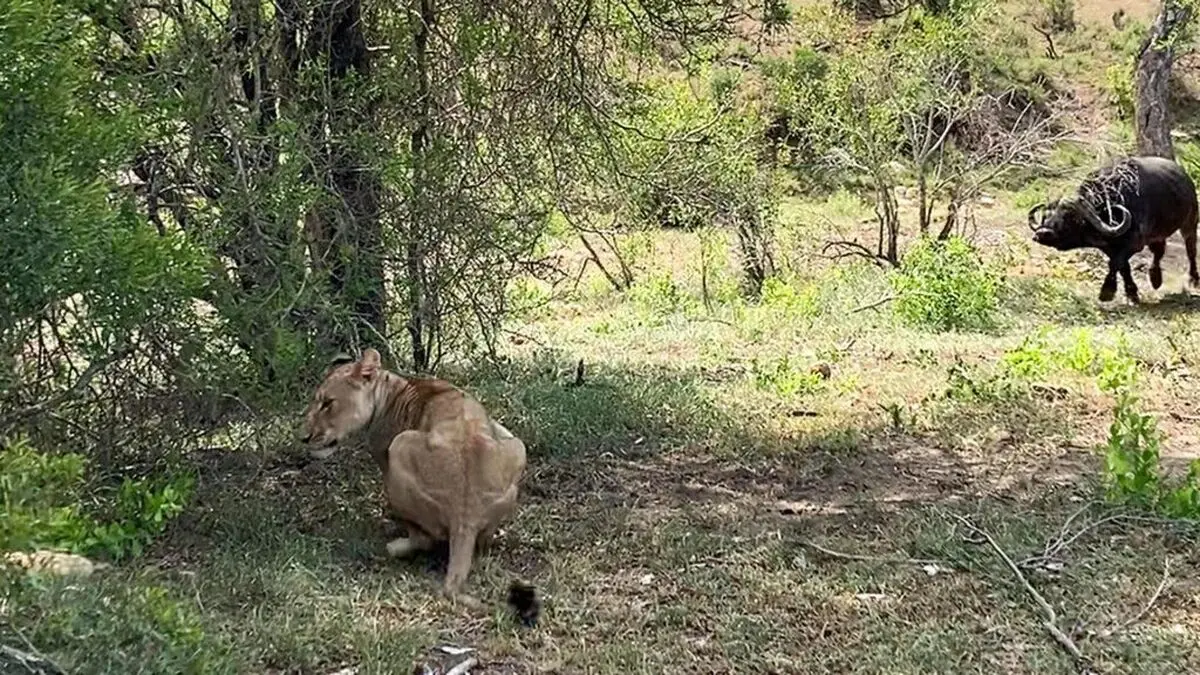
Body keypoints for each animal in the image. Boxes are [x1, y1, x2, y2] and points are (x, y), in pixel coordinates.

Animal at [301, 348, 532, 615]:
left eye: (328, 403)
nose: (304, 437)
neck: (391, 387)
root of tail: (465, 516)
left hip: (400, 446)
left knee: (424, 539)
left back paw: (394, 546)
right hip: (517, 444)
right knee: (481, 542)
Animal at [1028, 155, 1199, 303]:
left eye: (1070, 217)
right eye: (1047, 215)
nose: (1043, 233)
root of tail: (1185, 177)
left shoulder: (1134, 244)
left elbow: (1115, 263)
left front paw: (1107, 292)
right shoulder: (1109, 247)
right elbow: (1123, 267)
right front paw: (1131, 293)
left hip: (1190, 223)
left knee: (1190, 250)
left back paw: (1193, 280)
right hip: (1158, 234)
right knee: (1158, 252)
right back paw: (1155, 279)